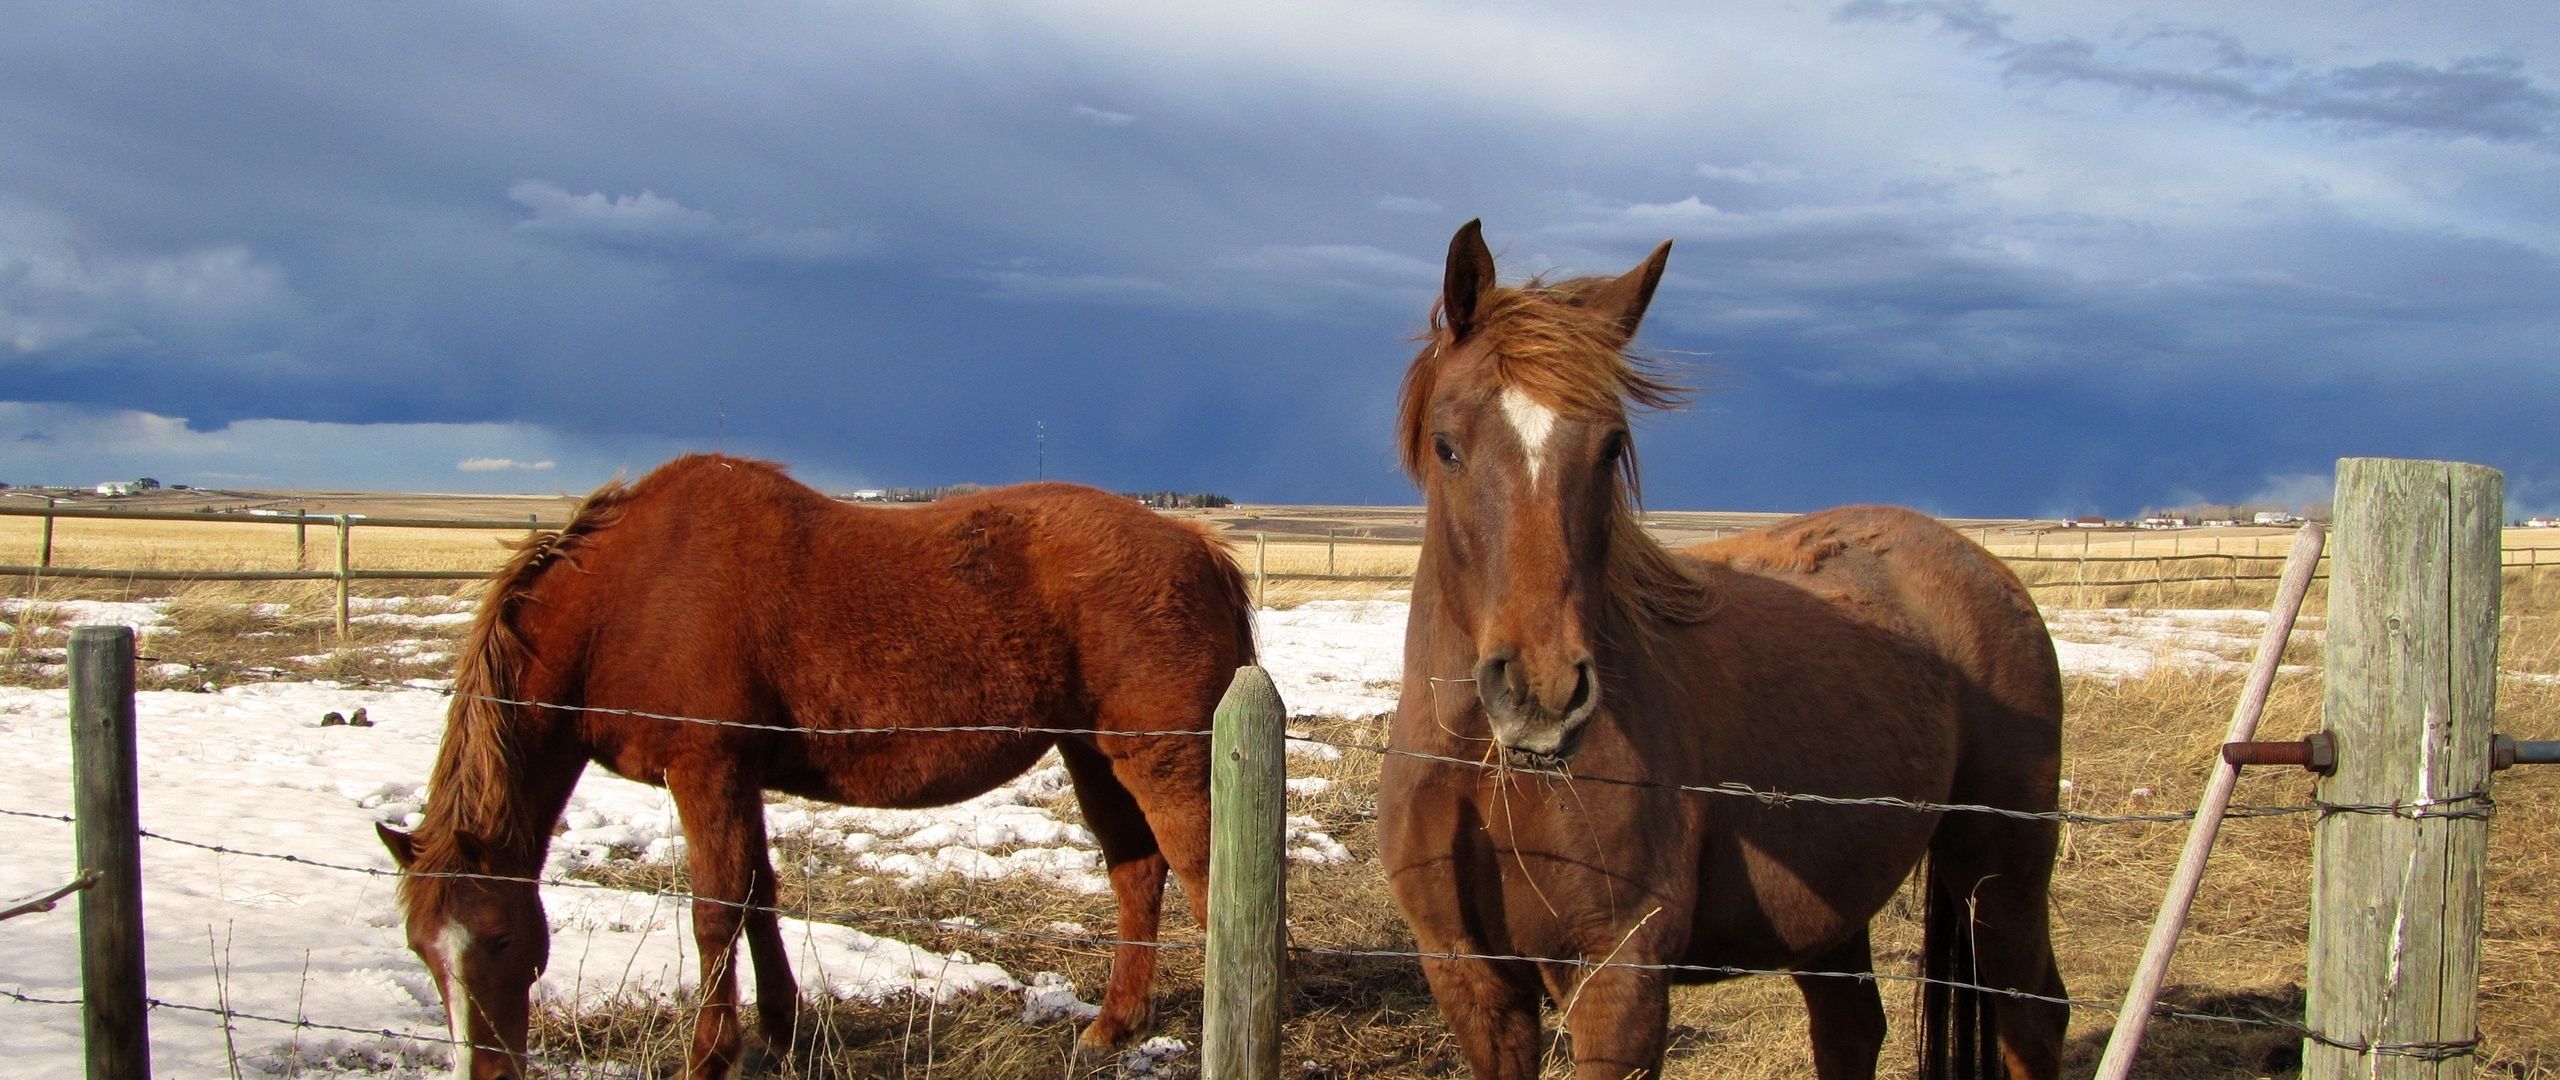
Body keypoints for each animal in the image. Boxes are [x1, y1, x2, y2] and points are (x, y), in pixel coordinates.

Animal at [375, 453, 1255, 1080]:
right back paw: (1113, 1025)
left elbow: (715, 912)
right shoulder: (741, 780)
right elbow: (758, 897)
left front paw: (711, 1057)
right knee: (1137, 873)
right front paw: (781, 1030)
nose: (484, 1075)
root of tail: (1198, 548)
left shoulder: (707, 770)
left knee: (1204, 875)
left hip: (1163, 758)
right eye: (421, 950)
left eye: (495, 939)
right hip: (1092, 753)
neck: (627, 596)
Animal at [1377, 221, 2068, 1079]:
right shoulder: (1472, 980)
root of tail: (1987, 569)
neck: (1482, 764)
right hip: (1839, 905)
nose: (1542, 694)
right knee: (1852, 1028)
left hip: (2000, 877)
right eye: (1448, 447)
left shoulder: (1619, 982)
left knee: (2033, 1019)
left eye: (1611, 448)